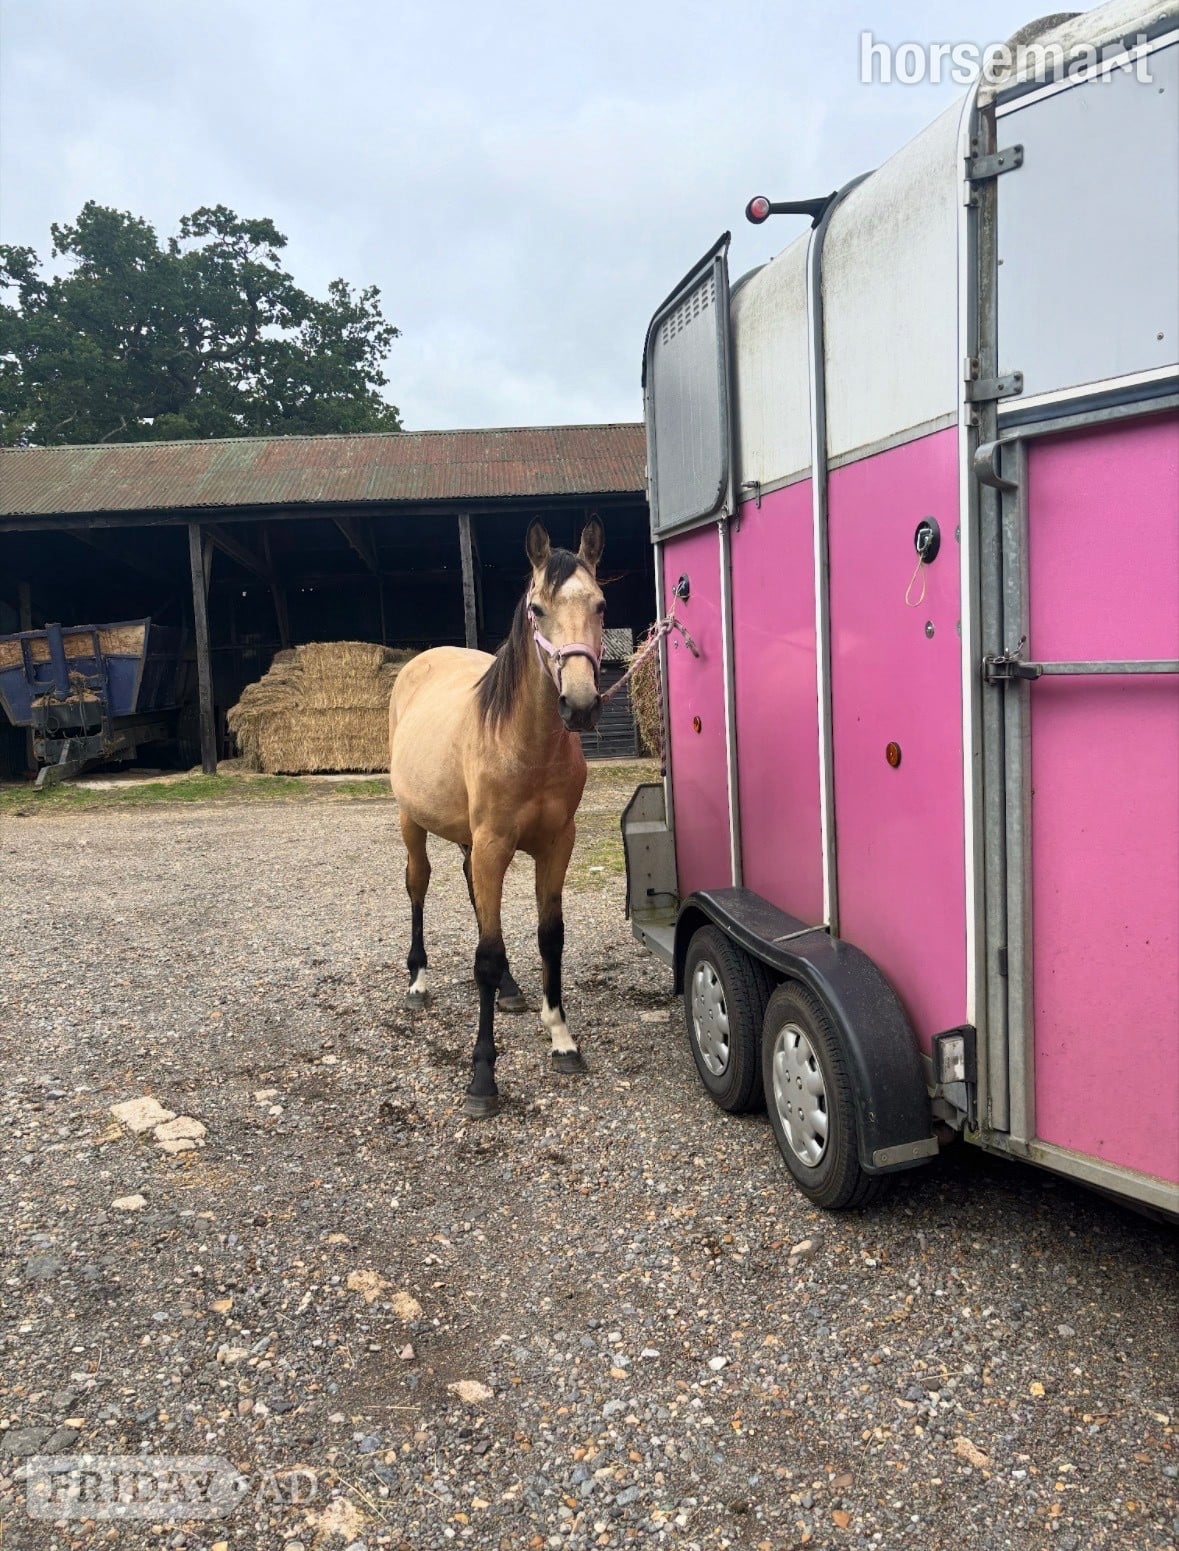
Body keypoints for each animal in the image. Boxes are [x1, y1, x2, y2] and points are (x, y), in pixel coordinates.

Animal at [388, 517, 606, 1117]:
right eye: (537, 608)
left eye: (601, 605)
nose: (580, 705)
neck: (524, 743)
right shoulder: (492, 845)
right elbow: (486, 953)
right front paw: (482, 1077)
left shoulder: (557, 845)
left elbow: (549, 937)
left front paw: (561, 1038)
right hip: (413, 823)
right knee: (419, 885)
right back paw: (418, 981)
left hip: (471, 842)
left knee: (473, 894)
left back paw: (509, 990)